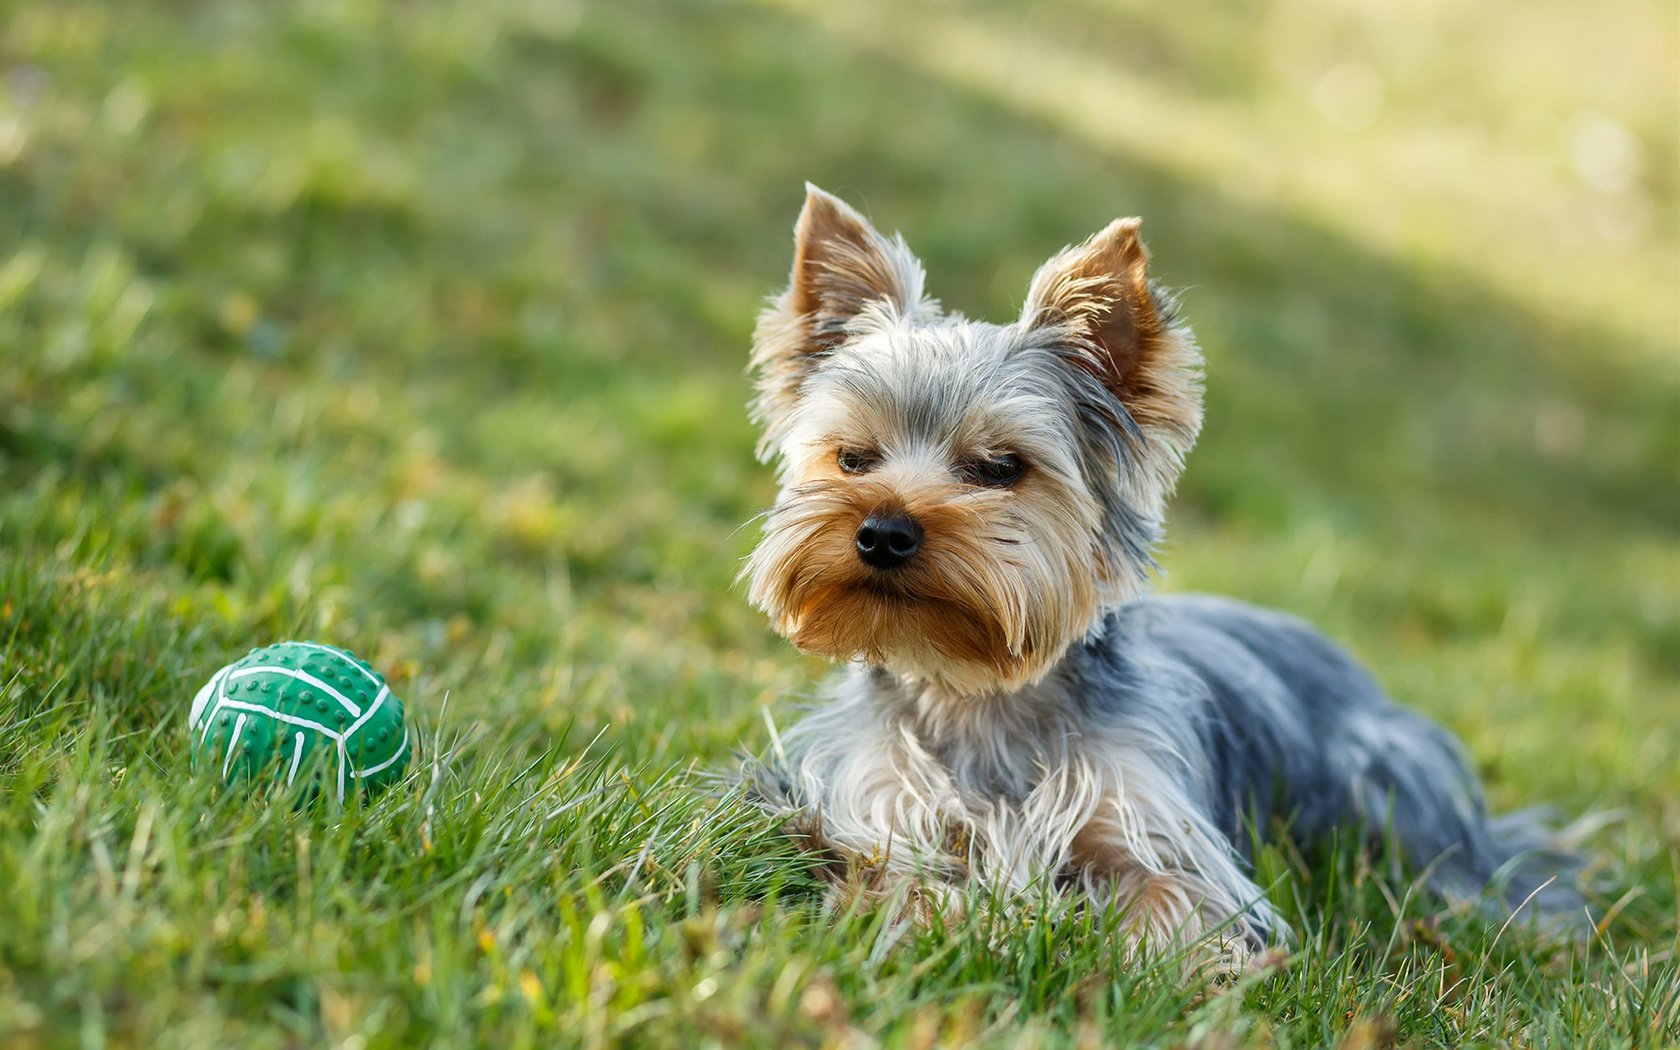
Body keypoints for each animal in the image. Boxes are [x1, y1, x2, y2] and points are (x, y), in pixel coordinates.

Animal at [742, 186, 1579, 960]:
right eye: (854, 458)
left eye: (1000, 467)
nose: (882, 533)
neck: (975, 692)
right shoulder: (874, 803)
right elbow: (891, 875)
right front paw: (963, 922)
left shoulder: (1162, 830)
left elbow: (1170, 899)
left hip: (1387, 778)